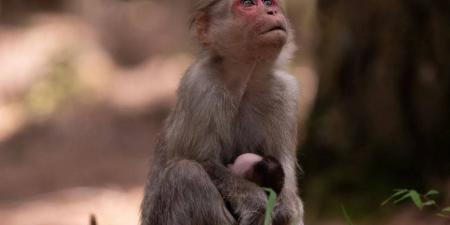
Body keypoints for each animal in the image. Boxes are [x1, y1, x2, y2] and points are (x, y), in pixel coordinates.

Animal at [141, 0, 302, 224]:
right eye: (249, 3)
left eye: (270, 3)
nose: (272, 11)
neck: (245, 81)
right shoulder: (199, 86)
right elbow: (202, 160)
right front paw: (254, 200)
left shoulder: (286, 93)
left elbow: (287, 179)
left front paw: (284, 206)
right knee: (186, 174)